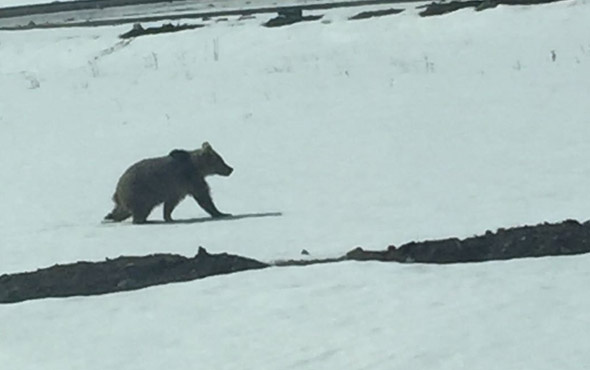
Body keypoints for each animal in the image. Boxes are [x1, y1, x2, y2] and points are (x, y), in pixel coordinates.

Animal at [105, 141, 235, 223]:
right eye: (220, 160)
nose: (230, 169)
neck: (198, 167)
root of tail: (118, 189)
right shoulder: (190, 179)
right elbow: (204, 197)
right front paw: (221, 213)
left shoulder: (176, 189)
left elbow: (170, 204)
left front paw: (168, 217)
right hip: (141, 193)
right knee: (140, 212)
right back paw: (146, 220)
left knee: (121, 210)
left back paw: (110, 216)